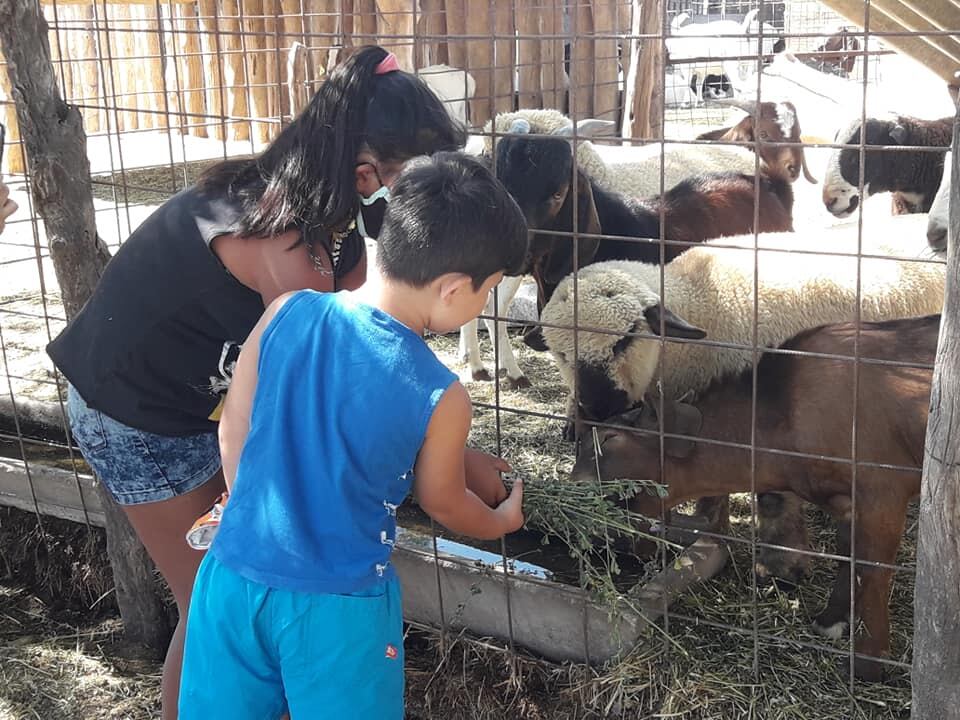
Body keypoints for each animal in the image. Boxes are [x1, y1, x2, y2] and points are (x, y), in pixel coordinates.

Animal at [568, 316, 936, 680]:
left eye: (610, 438)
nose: (572, 486)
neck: (787, 409)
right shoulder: (843, 501)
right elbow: (848, 554)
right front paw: (831, 619)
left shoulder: (881, 494)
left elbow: (873, 571)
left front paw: (867, 664)